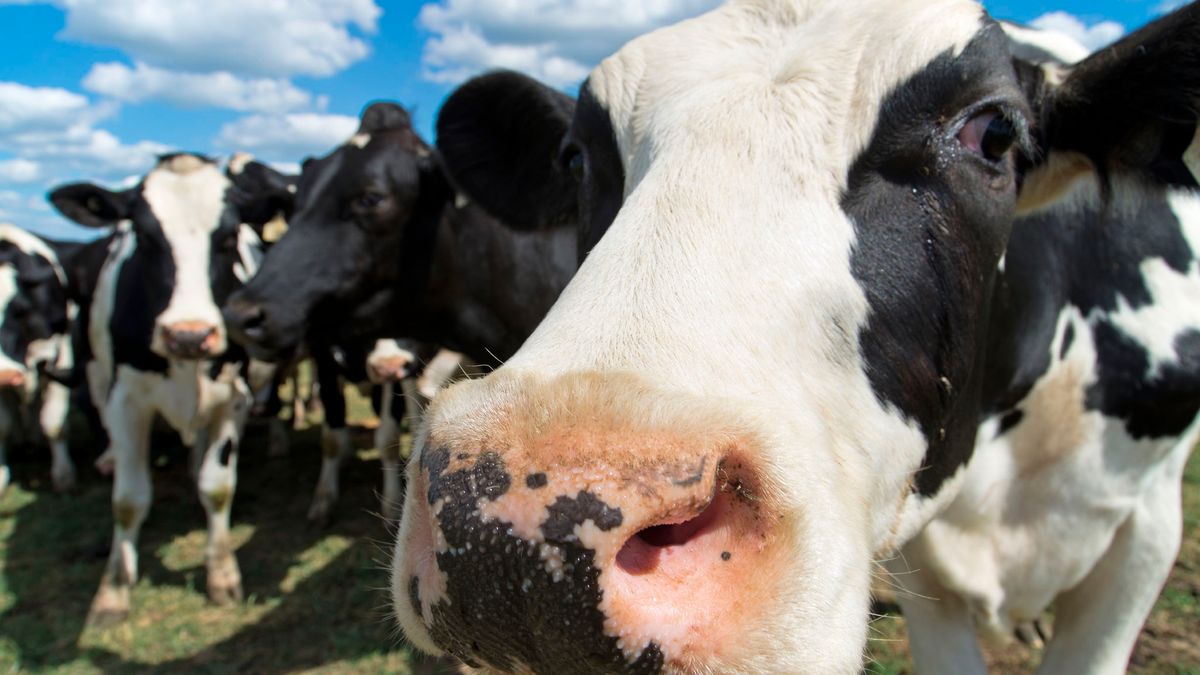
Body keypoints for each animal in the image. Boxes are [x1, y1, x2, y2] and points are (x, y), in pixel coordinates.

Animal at [0, 224, 76, 496]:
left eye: (19, 309)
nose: (5, 373)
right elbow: (3, 425)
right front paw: (1, 477)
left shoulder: (60, 354)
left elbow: (54, 422)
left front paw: (63, 476)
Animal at [47, 152, 285, 625]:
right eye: (143, 235)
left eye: (228, 236)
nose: (189, 335)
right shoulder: (125, 401)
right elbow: (128, 499)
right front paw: (113, 590)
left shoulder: (232, 399)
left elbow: (217, 486)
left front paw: (222, 575)